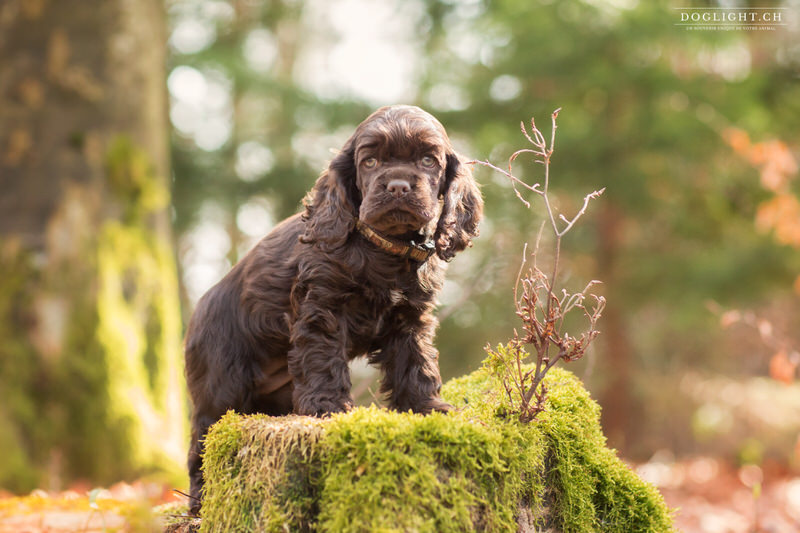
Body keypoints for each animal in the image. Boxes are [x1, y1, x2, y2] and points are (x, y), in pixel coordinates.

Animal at [185, 104, 484, 512]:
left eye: (427, 160)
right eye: (370, 161)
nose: (398, 186)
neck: (383, 250)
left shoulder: (411, 317)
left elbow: (416, 362)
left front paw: (427, 408)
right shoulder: (322, 308)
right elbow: (323, 360)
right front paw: (328, 409)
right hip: (220, 385)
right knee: (202, 439)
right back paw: (200, 501)